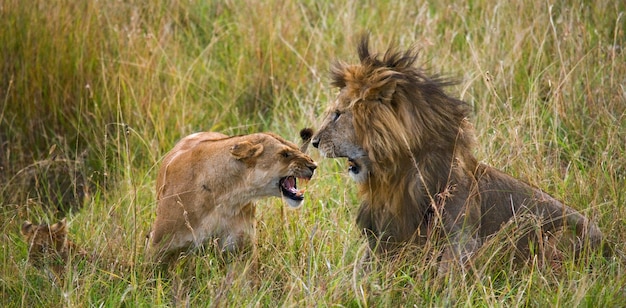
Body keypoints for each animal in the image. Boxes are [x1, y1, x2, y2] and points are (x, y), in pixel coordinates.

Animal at [149, 131, 316, 264]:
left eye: (296, 148)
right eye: (285, 154)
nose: (314, 166)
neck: (226, 196)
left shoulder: (240, 249)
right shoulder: (159, 247)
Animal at [310, 34, 604, 270]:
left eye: (338, 114)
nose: (313, 141)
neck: (395, 175)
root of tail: (608, 244)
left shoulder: (462, 237)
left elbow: (447, 276)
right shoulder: (383, 234)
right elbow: (361, 272)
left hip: (560, 236)